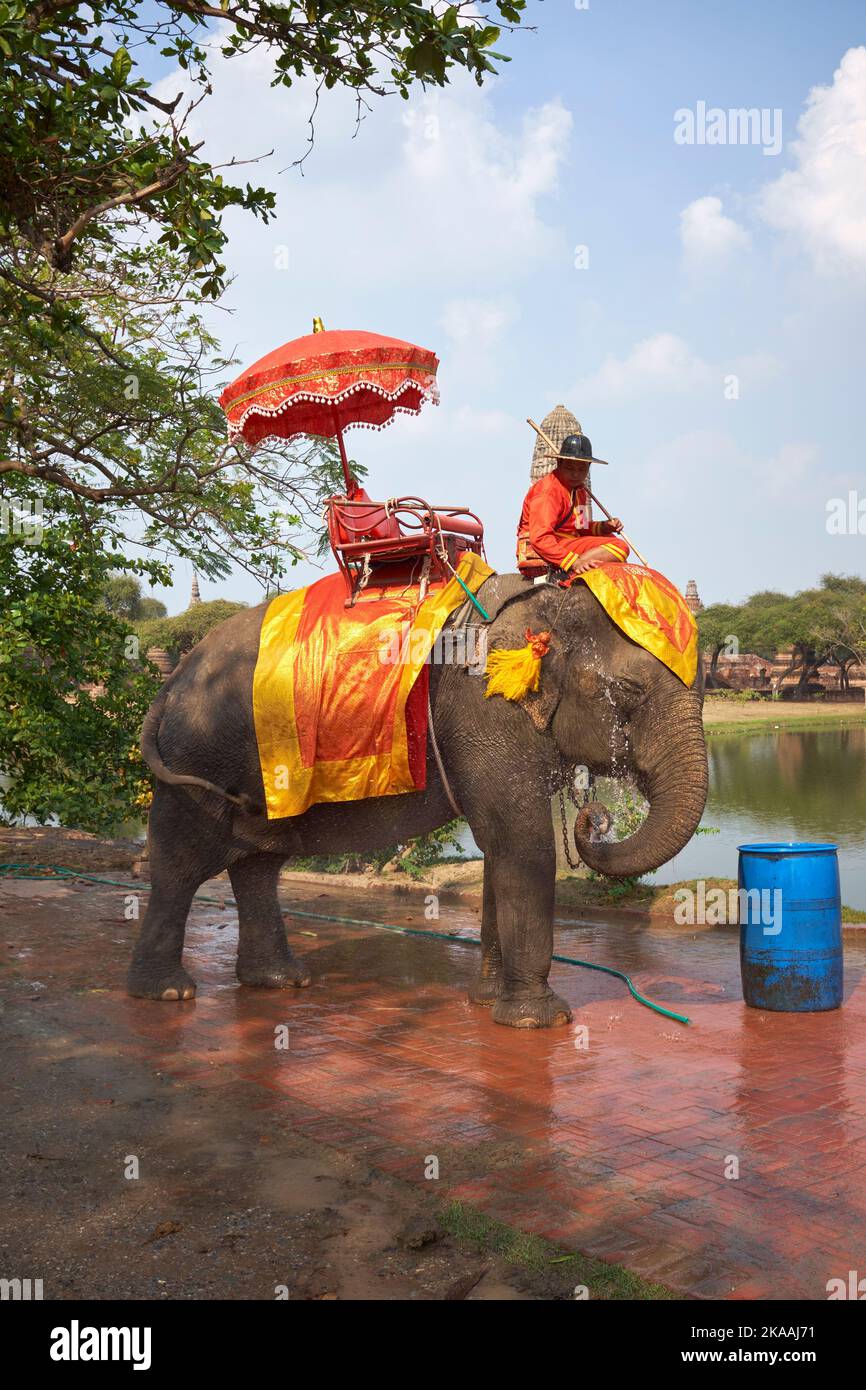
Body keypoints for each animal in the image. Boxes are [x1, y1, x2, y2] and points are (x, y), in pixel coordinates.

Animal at [129, 572, 708, 1028]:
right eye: (630, 692)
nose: (595, 816)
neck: (547, 599)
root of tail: (171, 680)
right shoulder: (486, 712)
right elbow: (522, 841)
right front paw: (540, 1021)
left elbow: (499, 846)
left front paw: (486, 1002)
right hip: (198, 760)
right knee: (181, 865)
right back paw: (169, 993)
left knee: (259, 866)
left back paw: (280, 981)